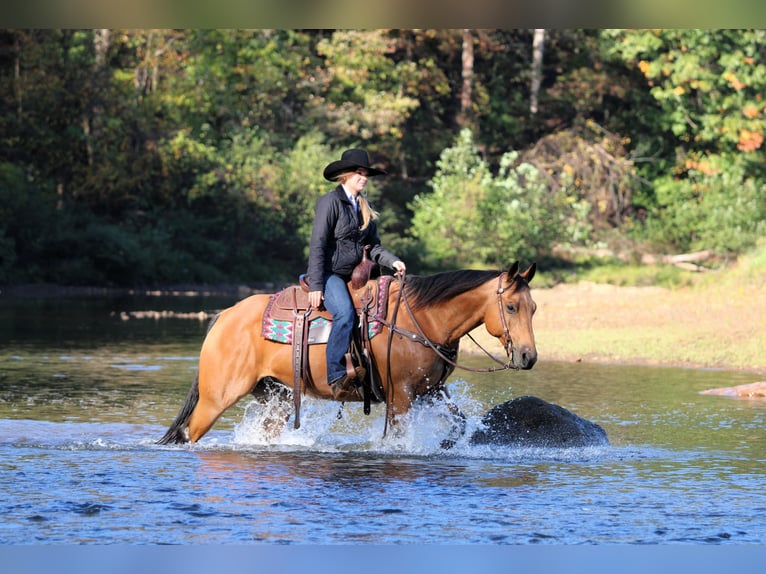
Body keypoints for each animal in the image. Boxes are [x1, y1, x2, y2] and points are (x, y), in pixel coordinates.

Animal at [158, 261, 537, 445]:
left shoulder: (431, 391)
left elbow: (459, 424)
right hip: (216, 399)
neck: (422, 318)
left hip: (276, 398)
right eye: (511, 306)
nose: (528, 356)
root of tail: (224, 316)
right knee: (188, 434)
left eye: (533, 307)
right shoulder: (401, 395)